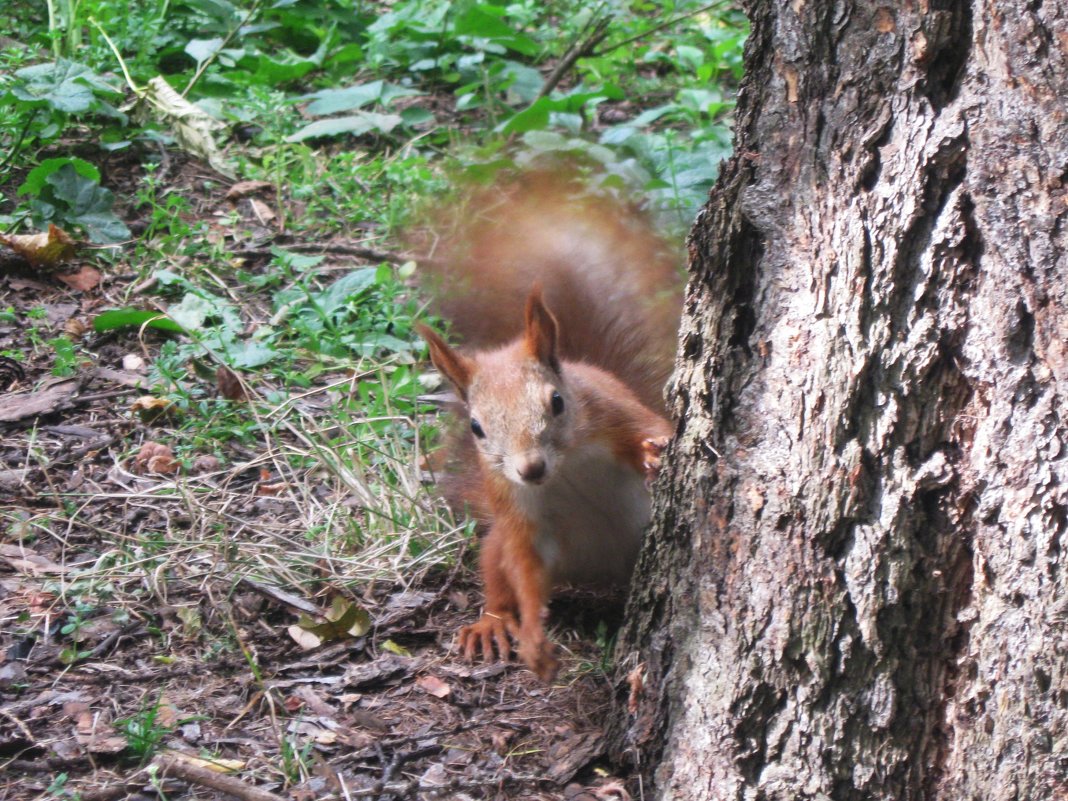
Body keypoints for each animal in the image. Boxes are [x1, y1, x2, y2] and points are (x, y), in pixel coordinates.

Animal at [412, 173, 679, 679]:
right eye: (476, 428)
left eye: (557, 401)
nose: (531, 469)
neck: (567, 464)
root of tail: (600, 569)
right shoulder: (513, 505)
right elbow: (524, 565)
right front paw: (533, 636)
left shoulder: (611, 409)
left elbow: (653, 427)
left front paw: (653, 451)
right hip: (504, 540)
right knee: (499, 569)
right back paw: (492, 623)